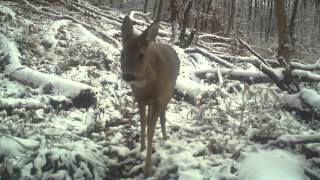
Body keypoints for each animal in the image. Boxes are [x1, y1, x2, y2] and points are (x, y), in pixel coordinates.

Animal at [120, 15, 180, 176]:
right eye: (122, 53)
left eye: (141, 55)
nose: (128, 75)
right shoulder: (139, 99)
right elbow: (142, 125)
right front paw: (141, 149)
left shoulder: (159, 99)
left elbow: (151, 130)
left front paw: (147, 169)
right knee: (151, 118)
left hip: (169, 92)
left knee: (163, 115)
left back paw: (165, 138)